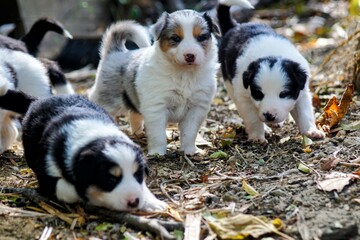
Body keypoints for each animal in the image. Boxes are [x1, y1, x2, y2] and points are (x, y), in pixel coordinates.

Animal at [0, 87, 167, 211]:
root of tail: (37, 100)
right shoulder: (47, 174)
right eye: (111, 179)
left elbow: (142, 186)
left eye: (138, 174)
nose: (133, 202)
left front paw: (154, 203)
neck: (94, 135)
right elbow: (67, 189)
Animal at [88, 9, 221, 156]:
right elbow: (158, 135)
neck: (184, 74)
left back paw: (138, 134)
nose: (190, 56)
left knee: (134, 115)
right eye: (176, 38)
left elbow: (190, 133)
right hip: (106, 99)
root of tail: (116, 52)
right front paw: (157, 153)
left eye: (201, 37)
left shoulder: (196, 108)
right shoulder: (156, 108)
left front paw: (190, 151)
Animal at [217, 0, 326, 142]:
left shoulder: (302, 93)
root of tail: (235, 27)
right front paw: (257, 137)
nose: (269, 115)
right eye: (258, 94)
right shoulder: (243, 97)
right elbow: (252, 118)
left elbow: (305, 113)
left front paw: (311, 131)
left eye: (283, 94)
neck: (271, 53)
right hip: (229, 85)